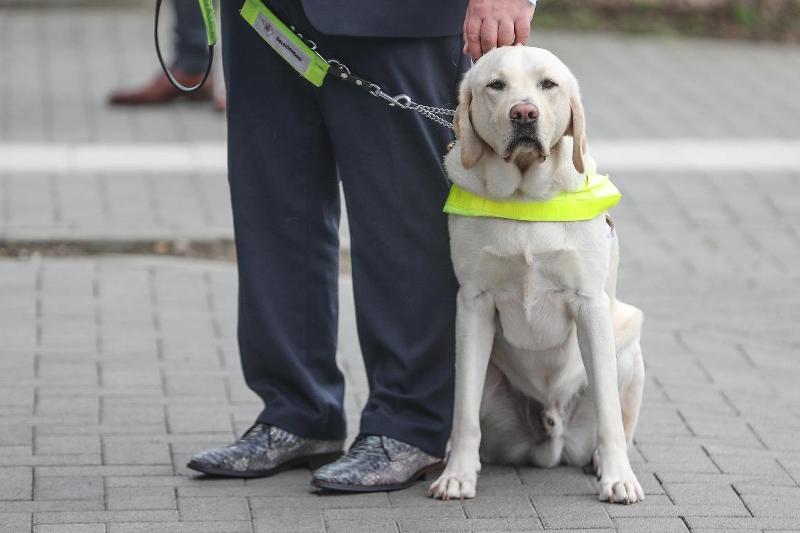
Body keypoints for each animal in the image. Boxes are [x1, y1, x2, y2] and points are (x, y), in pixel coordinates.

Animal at [428, 45, 648, 502]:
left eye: (549, 84)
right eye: (496, 85)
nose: (524, 113)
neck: (523, 198)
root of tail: (552, 435)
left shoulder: (590, 305)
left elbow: (609, 414)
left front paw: (618, 478)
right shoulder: (473, 303)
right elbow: (463, 411)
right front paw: (457, 475)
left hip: (628, 347)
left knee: (618, 417)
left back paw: (601, 461)